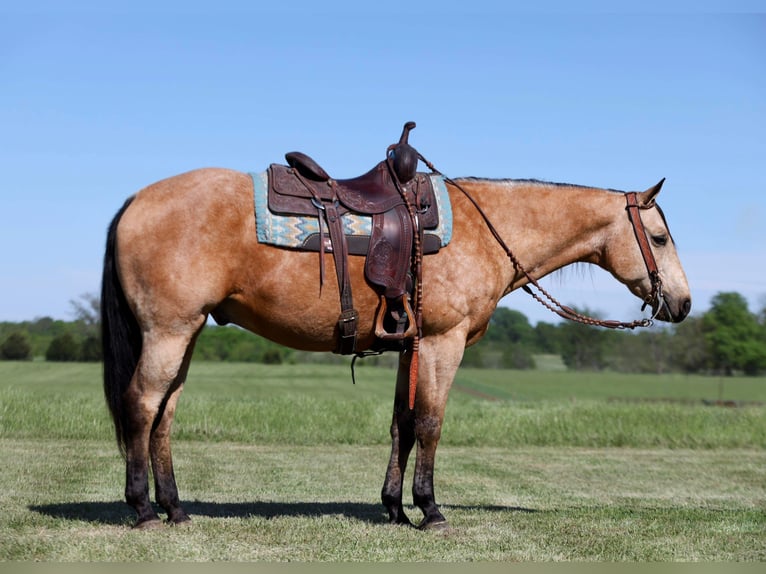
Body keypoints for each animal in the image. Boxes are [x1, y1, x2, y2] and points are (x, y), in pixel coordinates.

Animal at [99, 126, 692, 532]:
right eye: (660, 237)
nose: (683, 304)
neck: (484, 229)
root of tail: (136, 200)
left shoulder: (411, 344)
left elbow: (401, 425)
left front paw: (395, 509)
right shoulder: (443, 342)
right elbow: (430, 423)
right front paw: (430, 510)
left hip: (187, 332)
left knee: (164, 414)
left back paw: (175, 508)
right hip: (169, 330)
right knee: (142, 405)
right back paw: (143, 509)